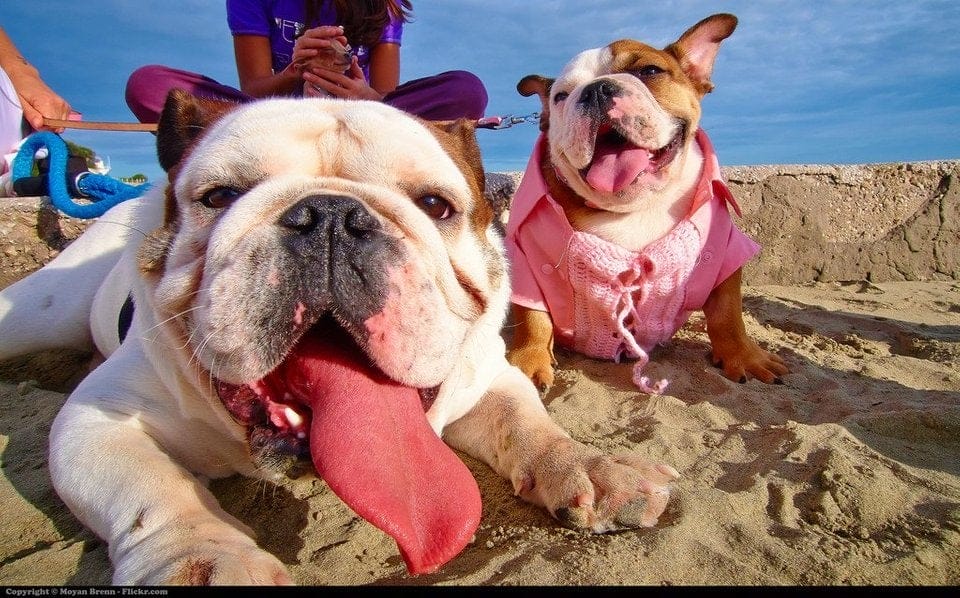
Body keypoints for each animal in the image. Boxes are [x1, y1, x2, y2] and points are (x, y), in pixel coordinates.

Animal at [0, 91, 679, 584]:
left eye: (436, 205)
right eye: (220, 196)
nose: (329, 213)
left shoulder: (488, 375)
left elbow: (529, 422)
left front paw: (591, 468)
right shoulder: (98, 419)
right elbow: (156, 492)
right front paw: (213, 561)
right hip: (36, 310)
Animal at [505, 13, 788, 393]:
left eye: (650, 71)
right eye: (561, 96)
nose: (596, 90)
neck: (635, 206)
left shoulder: (725, 249)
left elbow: (728, 312)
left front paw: (745, 356)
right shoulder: (526, 260)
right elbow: (533, 317)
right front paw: (528, 362)